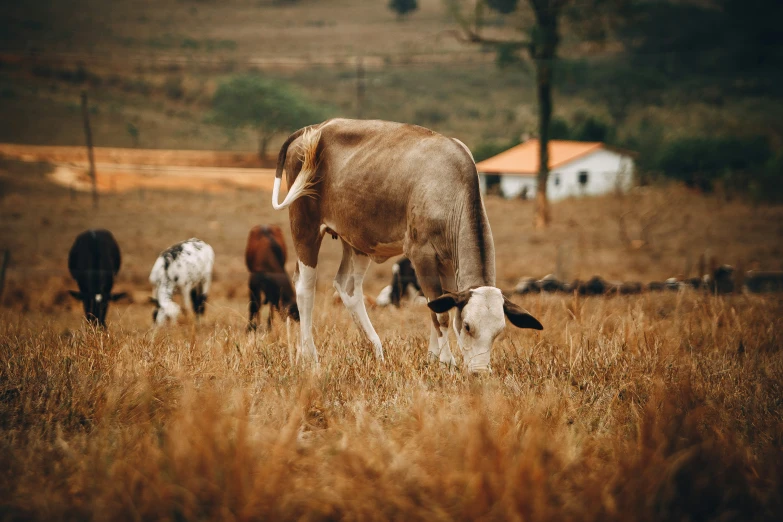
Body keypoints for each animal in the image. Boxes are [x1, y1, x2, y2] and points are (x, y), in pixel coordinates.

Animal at [272, 119, 544, 370]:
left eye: (499, 331)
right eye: (468, 326)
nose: (479, 372)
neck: (450, 185)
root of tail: (316, 127)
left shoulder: (447, 262)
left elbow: (441, 305)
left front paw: (434, 359)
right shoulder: (421, 255)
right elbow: (440, 314)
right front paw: (447, 362)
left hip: (357, 240)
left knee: (348, 287)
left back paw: (376, 350)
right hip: (304, 225)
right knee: (305, 288)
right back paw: (309, 355)